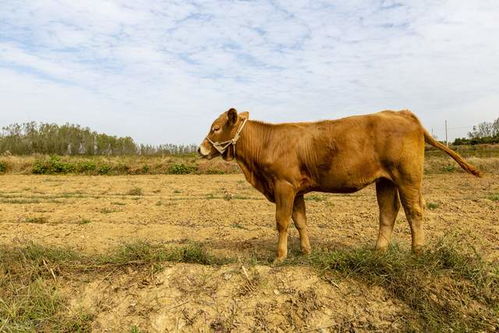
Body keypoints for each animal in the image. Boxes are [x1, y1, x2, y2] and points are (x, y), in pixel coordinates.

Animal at [197, 107, 482, 260]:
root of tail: (401, 112)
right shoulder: (297, 190)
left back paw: (417, 251)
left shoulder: (284, 186)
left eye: (216, 128)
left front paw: (280, 256)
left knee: (415, 211)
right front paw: (306, 251)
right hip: (386, 181)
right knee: (388, 213)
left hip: (408, 177)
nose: (200, 149)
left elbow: (282, 221)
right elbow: (300, 221)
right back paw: (378, 251)